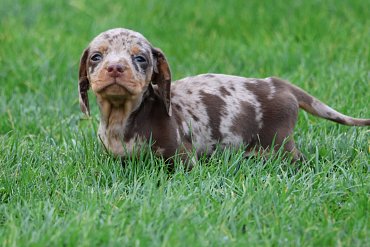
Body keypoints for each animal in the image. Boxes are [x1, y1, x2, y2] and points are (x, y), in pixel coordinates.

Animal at [78, 28, 370, 167]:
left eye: (140, 58)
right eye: (96, 57)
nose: (116, 68)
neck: (121, 118)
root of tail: (279, 84)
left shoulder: (182, 159)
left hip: (281, 146)